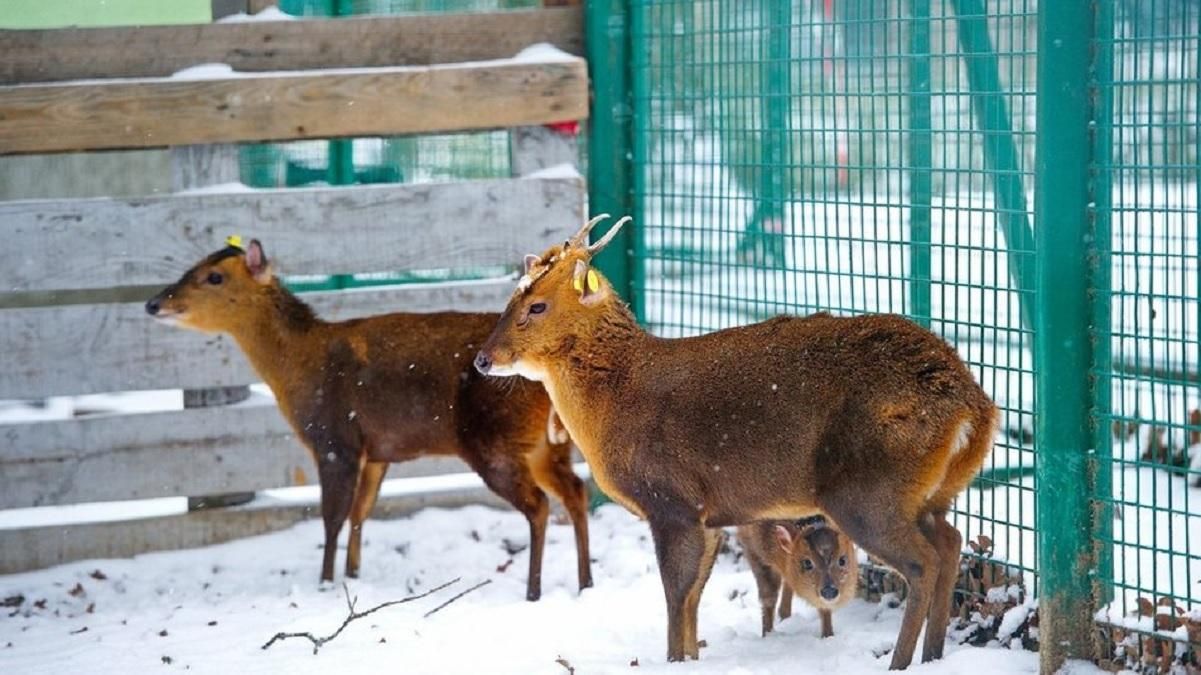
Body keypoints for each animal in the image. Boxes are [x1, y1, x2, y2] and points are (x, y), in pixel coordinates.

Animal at [145, 237, 590, 598]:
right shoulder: (376, 450)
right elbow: (361, 510)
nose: (154, 303)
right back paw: (585, 582)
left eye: (214, 276)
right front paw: (352, 574)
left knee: (539, 505)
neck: (299, 368)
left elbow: (332, 516)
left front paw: (325, 582)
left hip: (494, 440)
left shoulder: (333, 439)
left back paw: (533, 591)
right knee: (576, 490)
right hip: (548, 443)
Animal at [473, 214, 999, 667]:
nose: (482, 359)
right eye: (511, 300)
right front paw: (690, 657)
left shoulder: (671, 501)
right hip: (932, 493)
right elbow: (692, 598)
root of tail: (976, 408)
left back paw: (901, 662)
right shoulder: (709, 517)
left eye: (537, 305)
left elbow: (675, 594)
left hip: (868, 492)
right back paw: (933, 656)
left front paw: (673, 660)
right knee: (951, 543)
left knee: (923, 562)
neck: (618, 396)